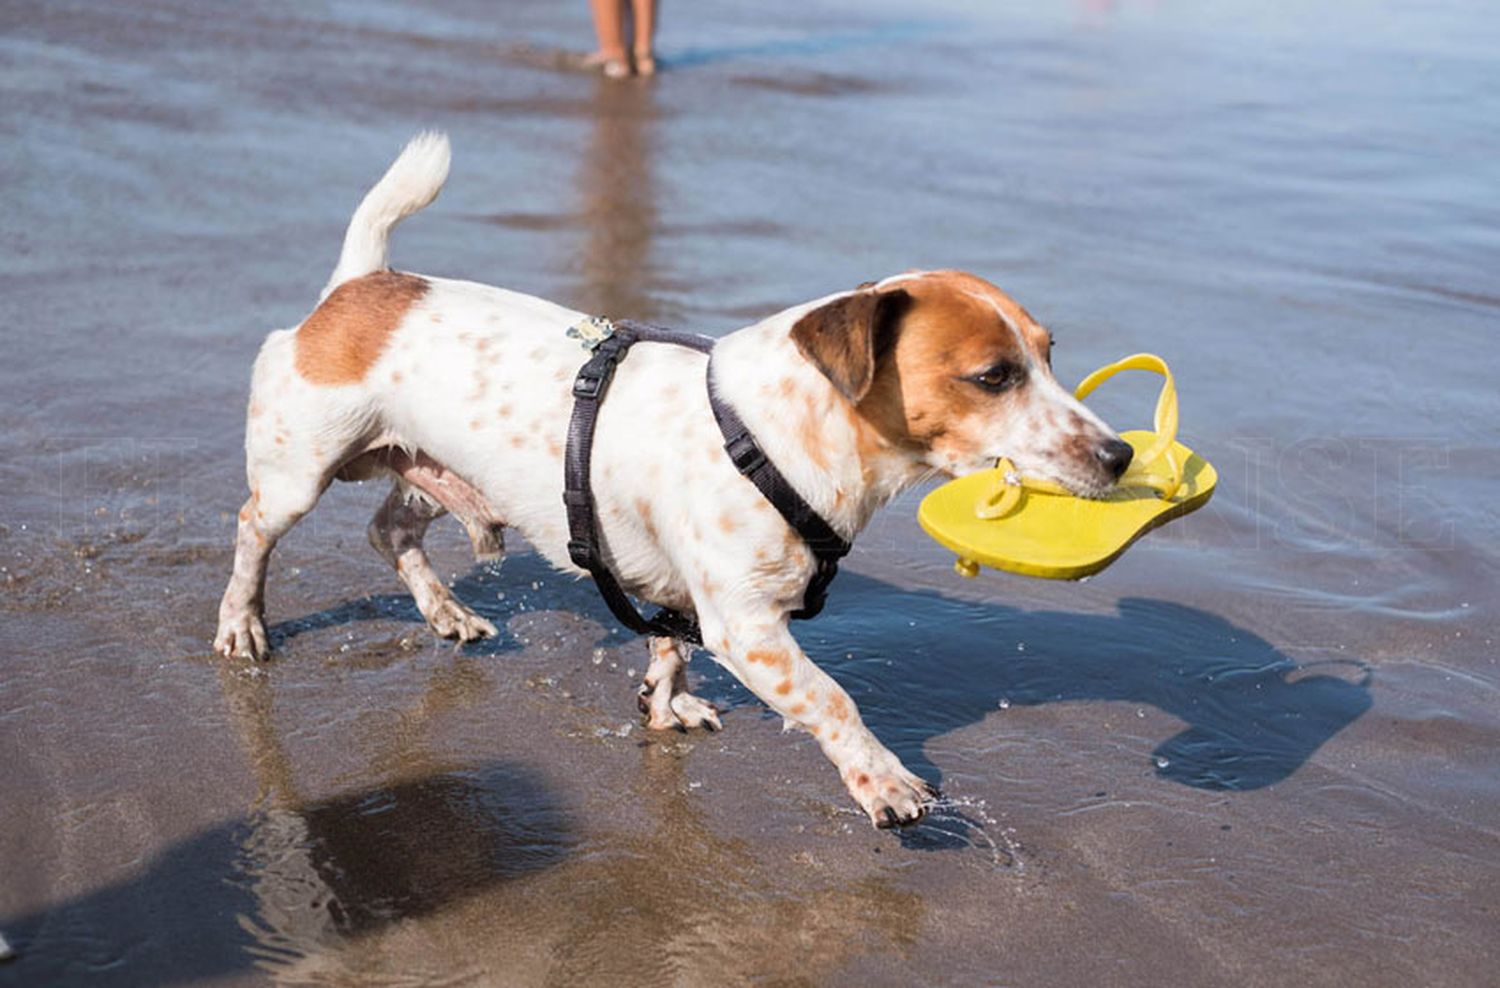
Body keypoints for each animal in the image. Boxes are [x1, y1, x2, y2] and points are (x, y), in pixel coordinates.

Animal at [208, 131, 1128, 827]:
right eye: (993, 377)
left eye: (1050, 354)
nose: (1120, 456)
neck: (782, 432)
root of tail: (364, 286)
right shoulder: (748, 626)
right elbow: (829, 698)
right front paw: (883, 781)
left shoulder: (678, 588)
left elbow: (667, 644)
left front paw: (667, 703)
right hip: (298, 470)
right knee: (254, 528)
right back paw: (242, 625)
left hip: (432, 469)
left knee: (389, 529)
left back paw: (447, 613)